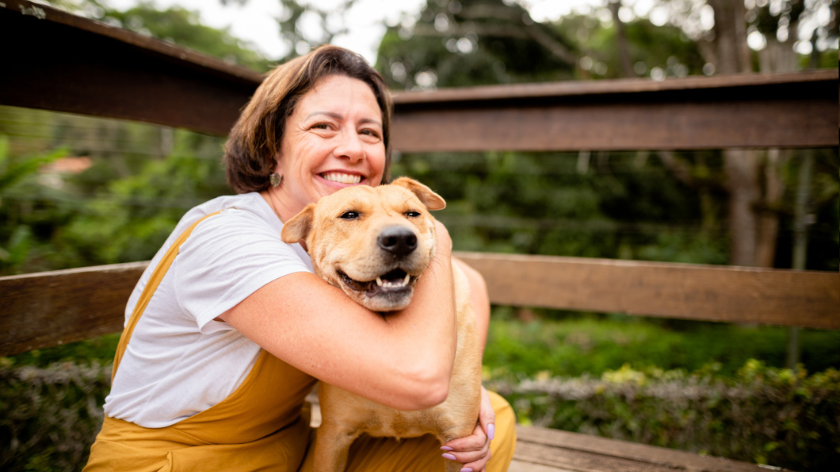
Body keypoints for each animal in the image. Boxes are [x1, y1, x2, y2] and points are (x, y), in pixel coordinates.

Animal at [280, 177, 480, 472]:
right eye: (349, 215)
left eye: (412, 214)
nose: (400, 240)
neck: (392, 334)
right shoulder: (333, 435)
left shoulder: (460, 441)